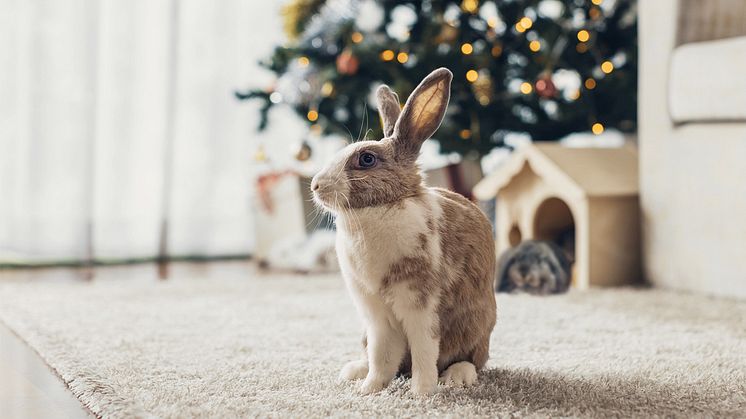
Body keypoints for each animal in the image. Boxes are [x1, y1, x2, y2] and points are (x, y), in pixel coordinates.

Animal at [308, 69, 494, 398]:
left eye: (366, 159)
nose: (315, 185)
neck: (380, 209)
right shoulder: (376, 316)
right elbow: (382, 355)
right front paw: (369, 390)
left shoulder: (420, 306)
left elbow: (424, 351)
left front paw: (421, 393)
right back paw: (354, 371)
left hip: (475, 327)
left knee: (472, 359)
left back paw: (456, 376)